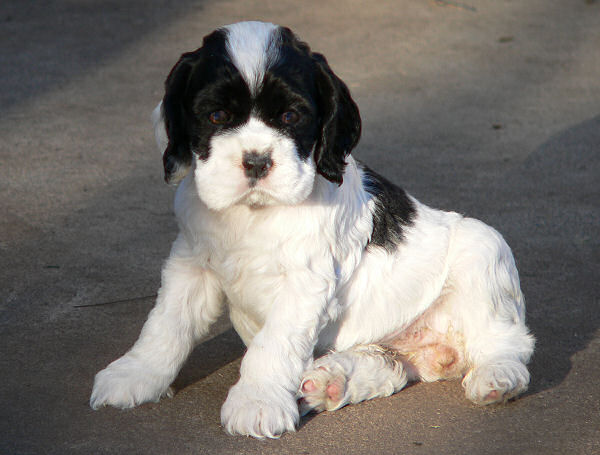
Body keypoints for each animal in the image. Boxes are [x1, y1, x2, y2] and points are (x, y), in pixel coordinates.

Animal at [92, 20, 536, 438]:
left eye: (291, 116)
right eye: (216, 116)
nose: (256, 161)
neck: (253, 213)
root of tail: (439, 351)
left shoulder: (304, 282)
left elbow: (274, 343)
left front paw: (257, 403)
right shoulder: (191, 263)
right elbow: (167, 322)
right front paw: (135, 375)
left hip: (484, 247)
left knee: (508, 342)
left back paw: (497, 377)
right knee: (389, 365)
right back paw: (331, 381)